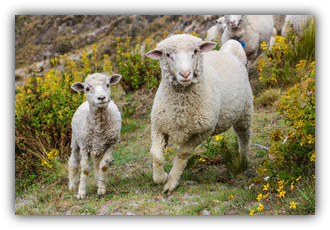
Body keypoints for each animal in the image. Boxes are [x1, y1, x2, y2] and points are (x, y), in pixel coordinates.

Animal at [145, 35, 253, 195]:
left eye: (195, 51)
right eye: (168, 54)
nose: (185, 74)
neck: (180, 109)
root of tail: (229, 51)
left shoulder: (202, 132)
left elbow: (182, 154)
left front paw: (171, 182)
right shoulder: (158, 127)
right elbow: (156, 155)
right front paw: (161, 177)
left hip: (245, 110)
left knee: (243, 136)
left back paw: (243, 161)